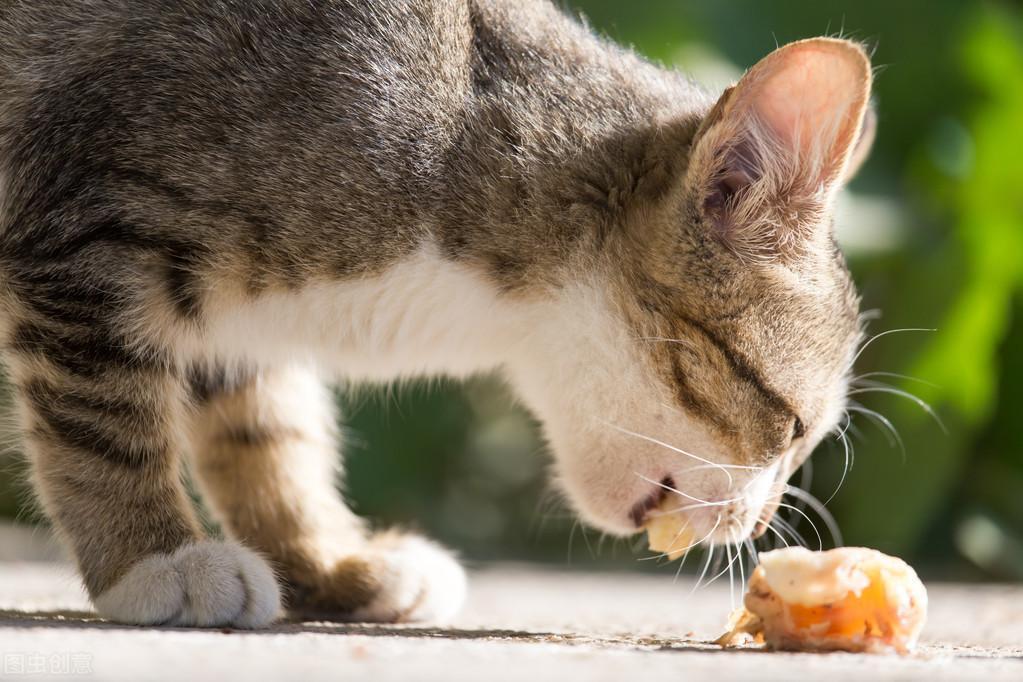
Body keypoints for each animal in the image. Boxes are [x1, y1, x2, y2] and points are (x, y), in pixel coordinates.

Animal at [1, 0, 871, 629]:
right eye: (792, 426)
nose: (754, 527)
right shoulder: (91, 227)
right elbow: (104, 415)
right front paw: (152, 556)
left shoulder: (234, 320)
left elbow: (267, 431)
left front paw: (323, 560)